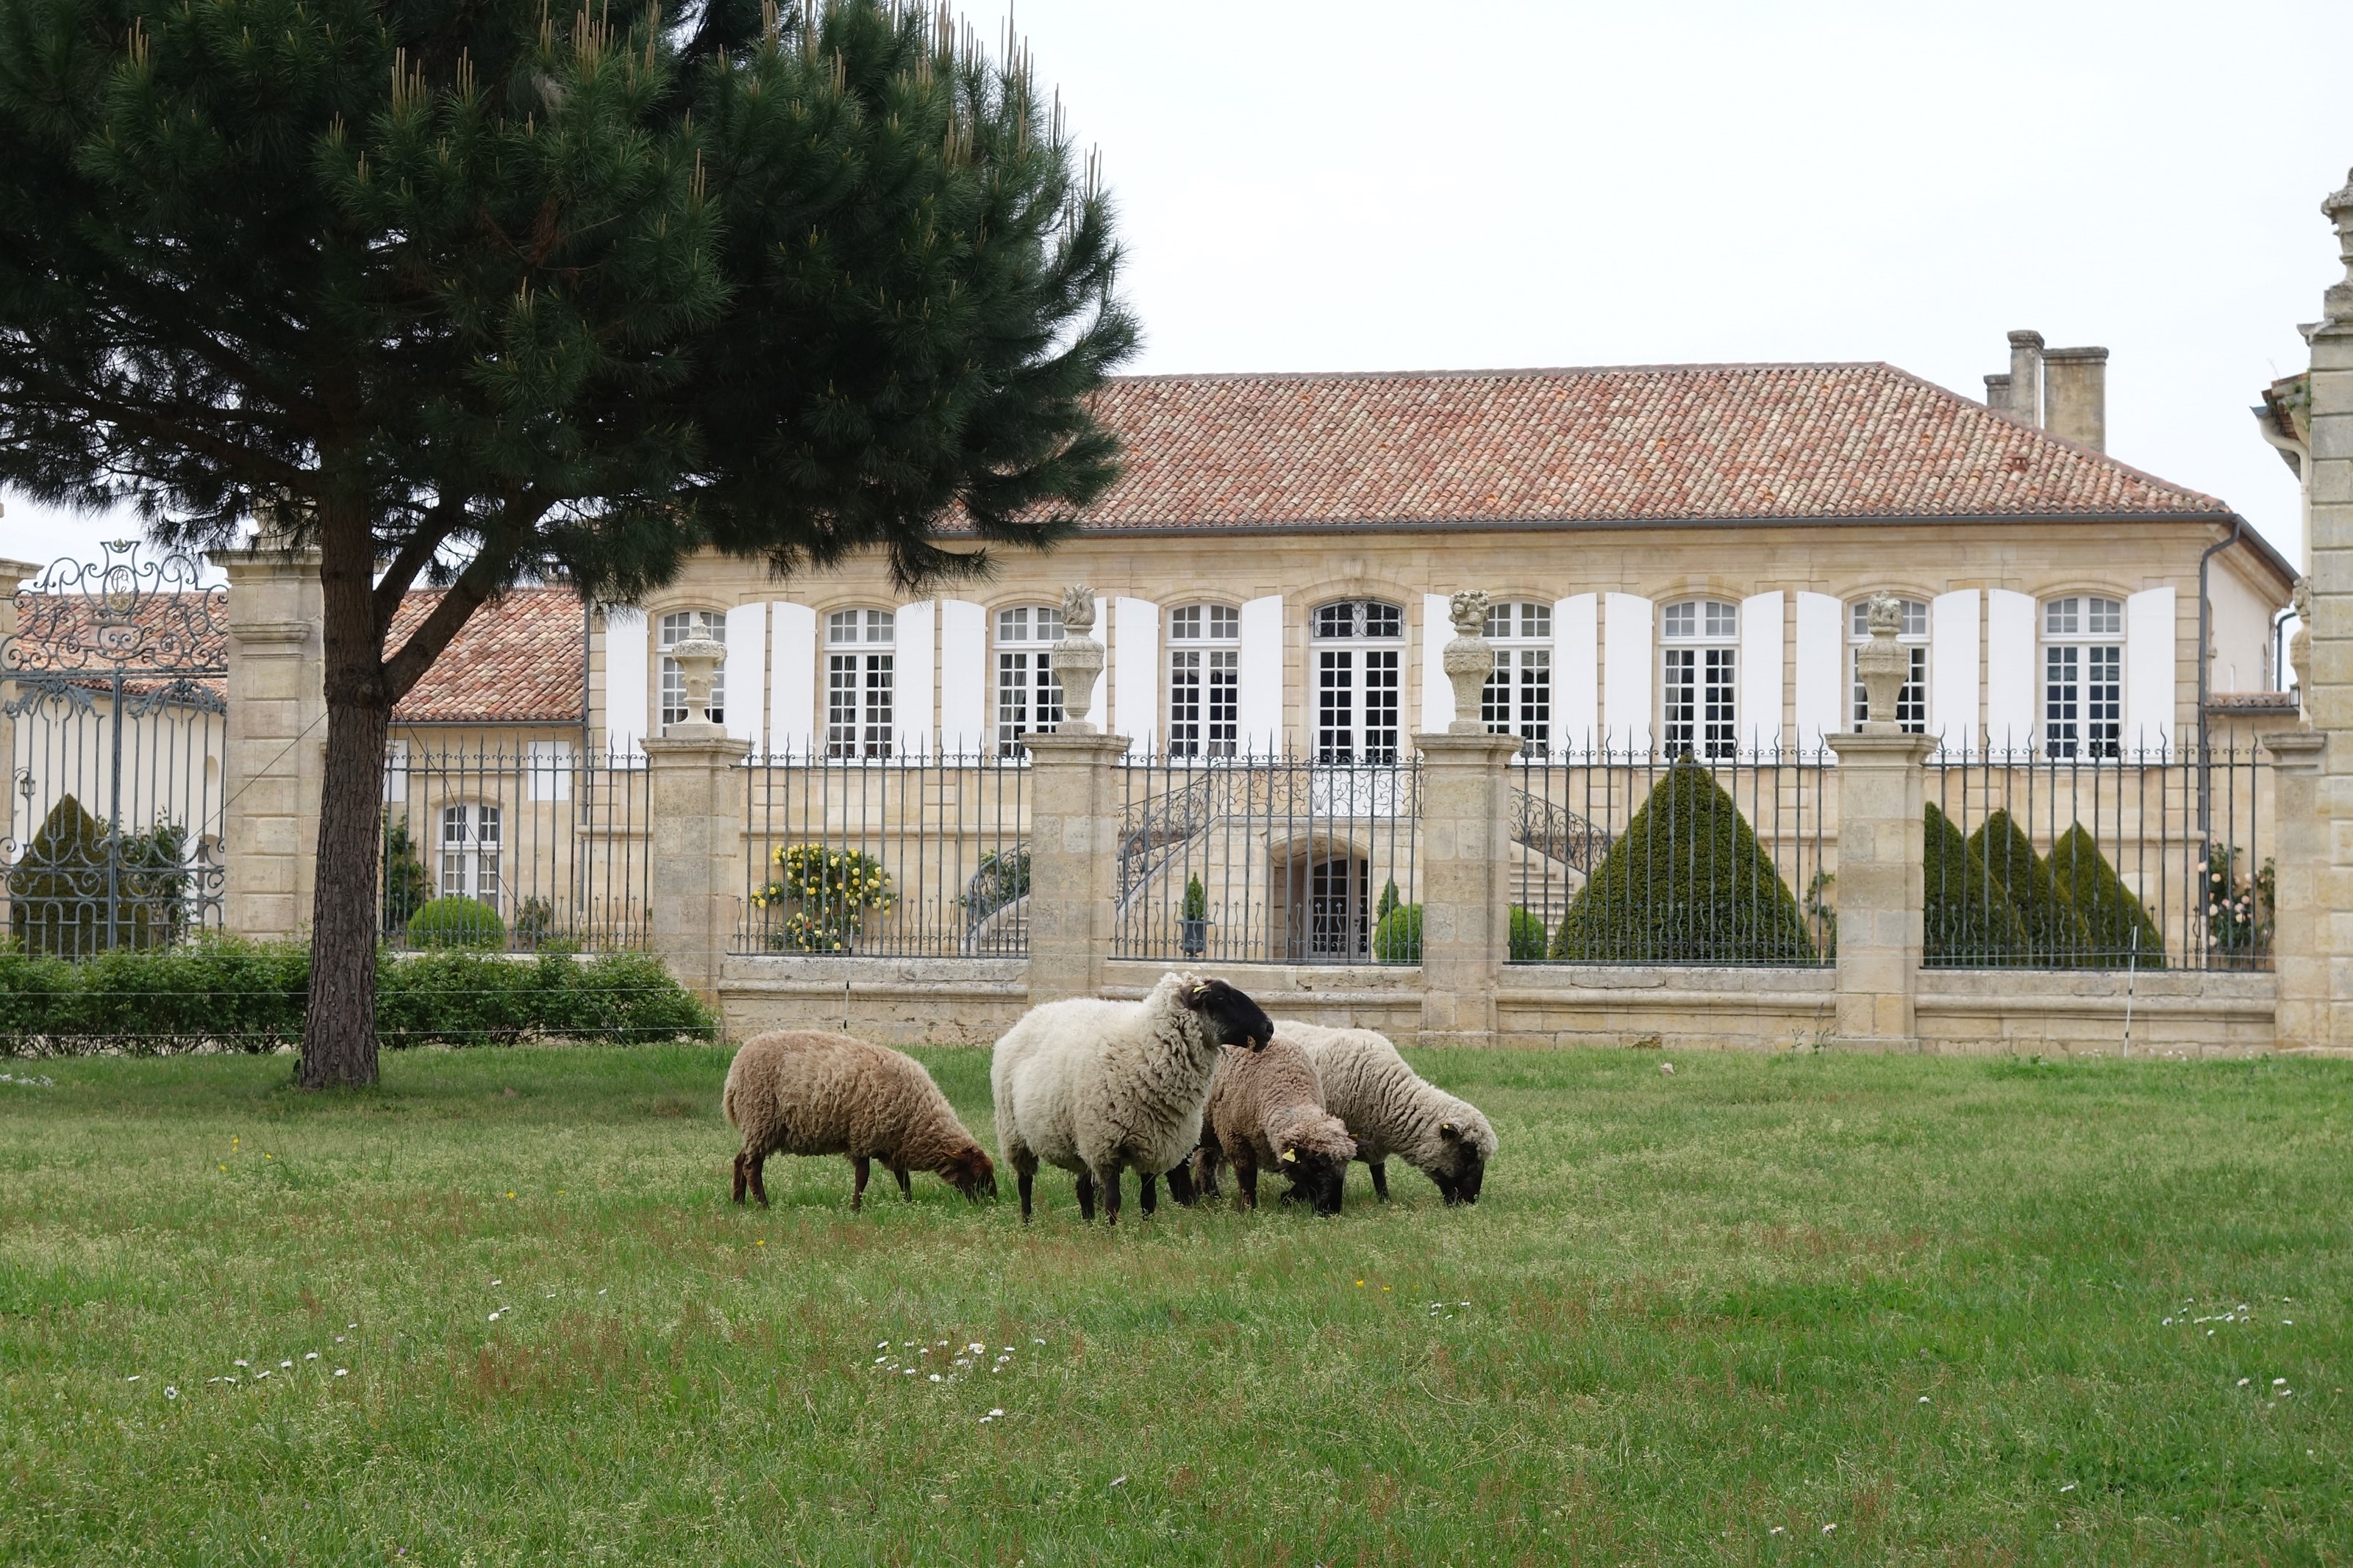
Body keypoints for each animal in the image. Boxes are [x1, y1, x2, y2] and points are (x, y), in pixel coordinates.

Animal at [724, 1029, 1002, 1213]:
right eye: (979, 1176)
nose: (993, 1204)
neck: (918, 1114)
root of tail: (735, 1071)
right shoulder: (863, 1136)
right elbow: (863, 1177)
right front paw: (856, 1207)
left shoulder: (894, 1143)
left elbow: (903, 1178)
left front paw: (909, 1203)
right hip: (761, 1120)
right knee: (752, 1167)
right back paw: (764, 1206)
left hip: (756, 1128)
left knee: (740, 1159)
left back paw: (738, 1202)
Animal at [997, 968, 1279, 1222]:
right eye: (1221, 996)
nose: (1269, 1028)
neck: (1144, 1047)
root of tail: (1033, 1012)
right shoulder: (1105, 1145)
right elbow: (1113, 1200)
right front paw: (1111, 1234)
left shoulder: (1154, 1143)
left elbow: (1148, 1199)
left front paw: (1147, 1229)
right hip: (1015, 1133)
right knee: (1025, 1184)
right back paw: (1027, 1222)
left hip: (1078, 1138)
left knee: (1083, 1189)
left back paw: (1087, 1223)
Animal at [1195, 1034, 1365, 1222]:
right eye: (1315, 1164)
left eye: (1346, 1165)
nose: (1332, 1210)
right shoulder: (1235, 1137)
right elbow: (1247, 1176)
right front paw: (1248, 1210)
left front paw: (1287, 1198)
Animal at [1279, 1025, 1496, 1213]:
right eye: (1468, 1150)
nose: (1470, 1201)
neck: (1385, 1092)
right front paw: (1292, 1198)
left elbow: (1379, 1174)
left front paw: (1385, 1201)